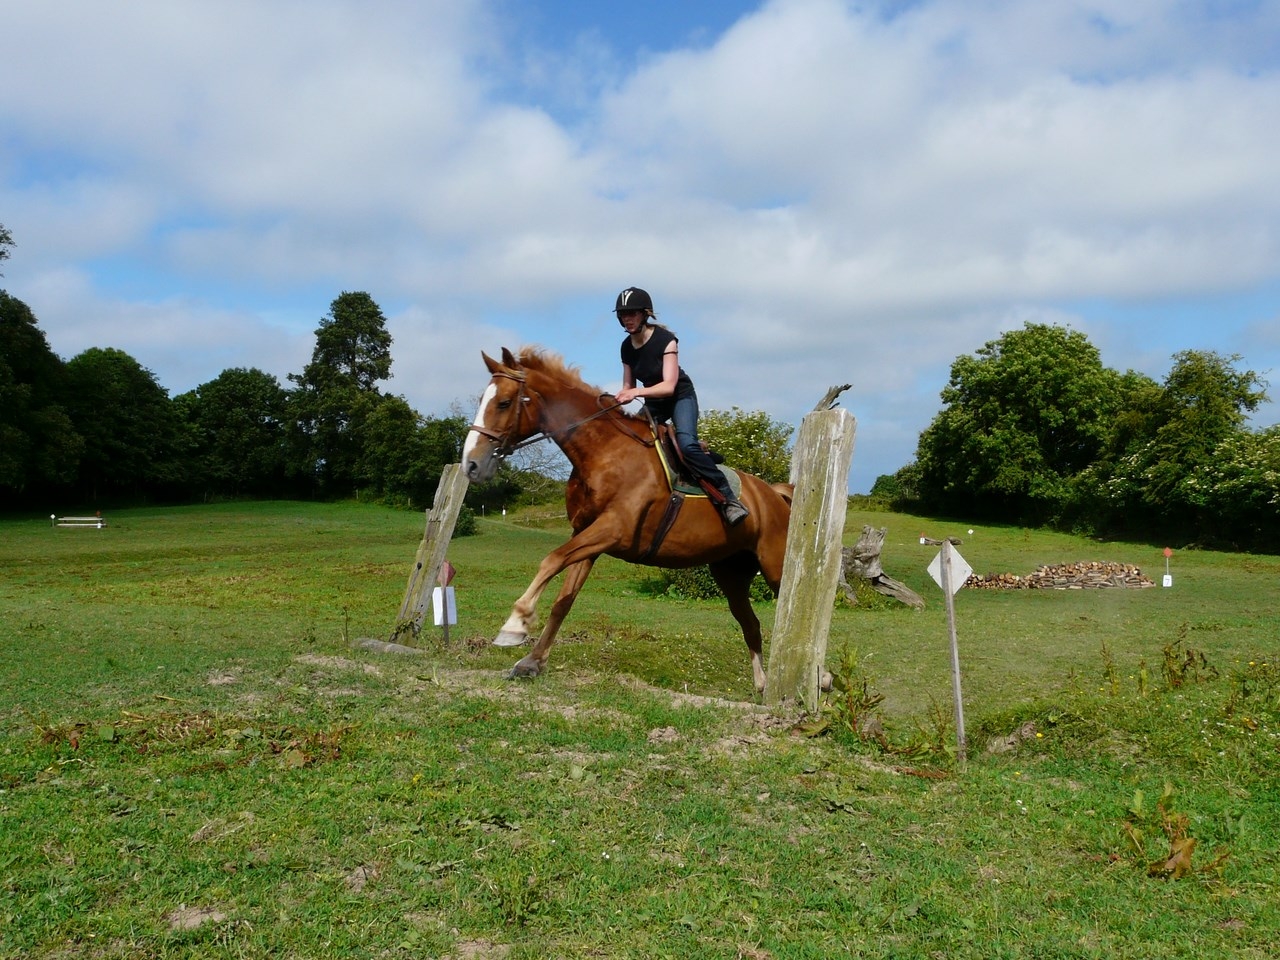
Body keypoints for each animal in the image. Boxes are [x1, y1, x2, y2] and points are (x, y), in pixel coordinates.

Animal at [460, 350, 788, 696]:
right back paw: (763, 685)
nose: (472, 464)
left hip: (776, 567)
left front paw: (514, 626)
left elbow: (551, 560)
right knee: (750, 623)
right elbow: (563, 600)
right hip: (730, 574)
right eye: (483, 400)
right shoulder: (587, 537)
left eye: (504, 403)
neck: (603, 451)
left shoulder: (613, 531)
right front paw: (531, 662)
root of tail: (774, 496)